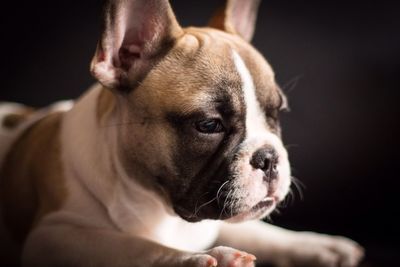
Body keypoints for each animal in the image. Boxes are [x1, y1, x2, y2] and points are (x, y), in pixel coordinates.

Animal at [0, 0, 366, 267]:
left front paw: (318, 245)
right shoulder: (53, 237)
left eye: (276, 114)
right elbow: (131, 246)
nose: (269, 156)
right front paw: (199, 258)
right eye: (209, 125)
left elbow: (259, 230)